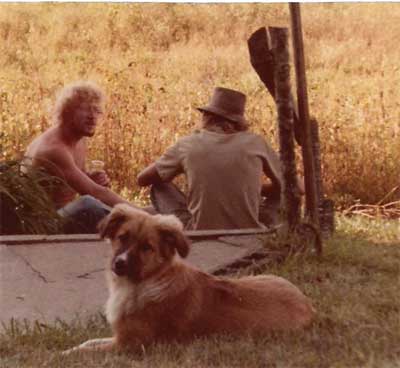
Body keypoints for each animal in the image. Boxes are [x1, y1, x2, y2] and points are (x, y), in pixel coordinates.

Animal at [64, 204, 316, 354]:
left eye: (147, 248)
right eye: (122, 237)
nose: (120, 264)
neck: (147, 281)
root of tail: (308, 306)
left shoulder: (130, 344)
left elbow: (88, 350)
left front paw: (65, 353)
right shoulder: (119, 338)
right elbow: (88, 343)